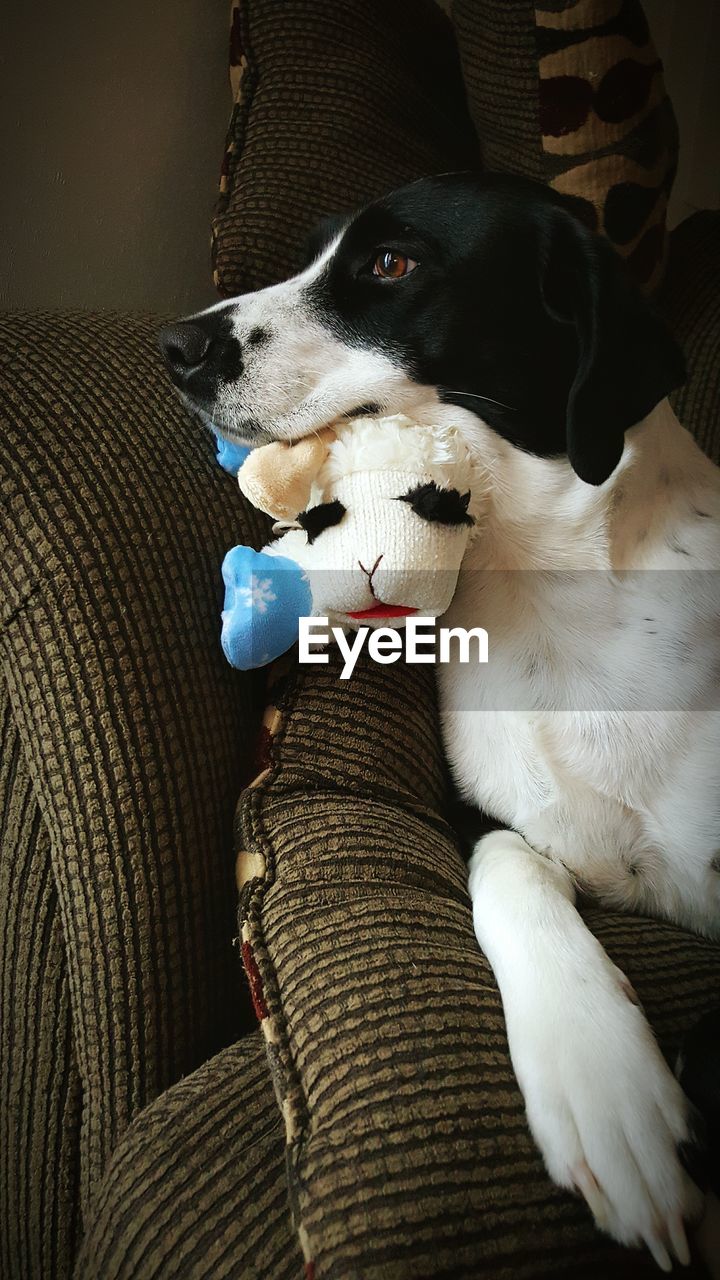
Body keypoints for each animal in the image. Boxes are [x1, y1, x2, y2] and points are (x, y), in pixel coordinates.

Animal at [158, 170, 717, 1269]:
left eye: (390, 263)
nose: (177, 345)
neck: (562, 594)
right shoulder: (489, 818)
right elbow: (507, 869)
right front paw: (602, 1081)